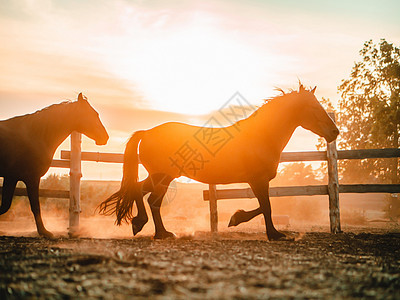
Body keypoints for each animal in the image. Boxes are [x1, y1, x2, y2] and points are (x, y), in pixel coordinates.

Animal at [0, 92, 108, 238]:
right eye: (93, 114)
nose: (105, 137)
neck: (35, 136)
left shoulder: (11, 177)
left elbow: (5, 205)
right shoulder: (30, 178)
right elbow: (35, 206)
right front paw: (44, 232)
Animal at [99, 85, 338, 240]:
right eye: (314, 108)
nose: (334, 132)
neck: (261, 137)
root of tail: (147, 132)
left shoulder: (258, 181)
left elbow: (263, 206)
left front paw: (236, 218)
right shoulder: (257, 180)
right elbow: (267, 207)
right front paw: (274, 235)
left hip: (163, 176)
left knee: (139, 190)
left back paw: (146, 226)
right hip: (163, 177)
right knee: (152, 200)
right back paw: (159, 233)